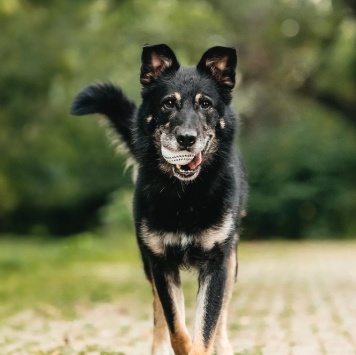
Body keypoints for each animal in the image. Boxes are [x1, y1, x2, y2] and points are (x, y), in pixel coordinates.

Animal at [70, 44, 246, 355]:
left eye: (206, 104)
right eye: (168, 103)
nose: (186, 139)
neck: (186, 196)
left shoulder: (216, 264)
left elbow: (207, 328)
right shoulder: (160, 263)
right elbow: (176, 326)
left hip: (231, 260)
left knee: (222, 315)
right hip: (148, 262)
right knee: (159, 313)